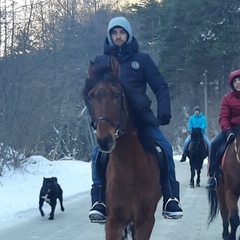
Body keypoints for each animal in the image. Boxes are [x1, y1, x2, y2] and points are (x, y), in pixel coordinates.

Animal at [82, 55, 161, 239]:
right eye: (91, 97)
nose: (105, 140)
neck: (131, 169)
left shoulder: (145, 220)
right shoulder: (113, 221)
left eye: (118, 95)